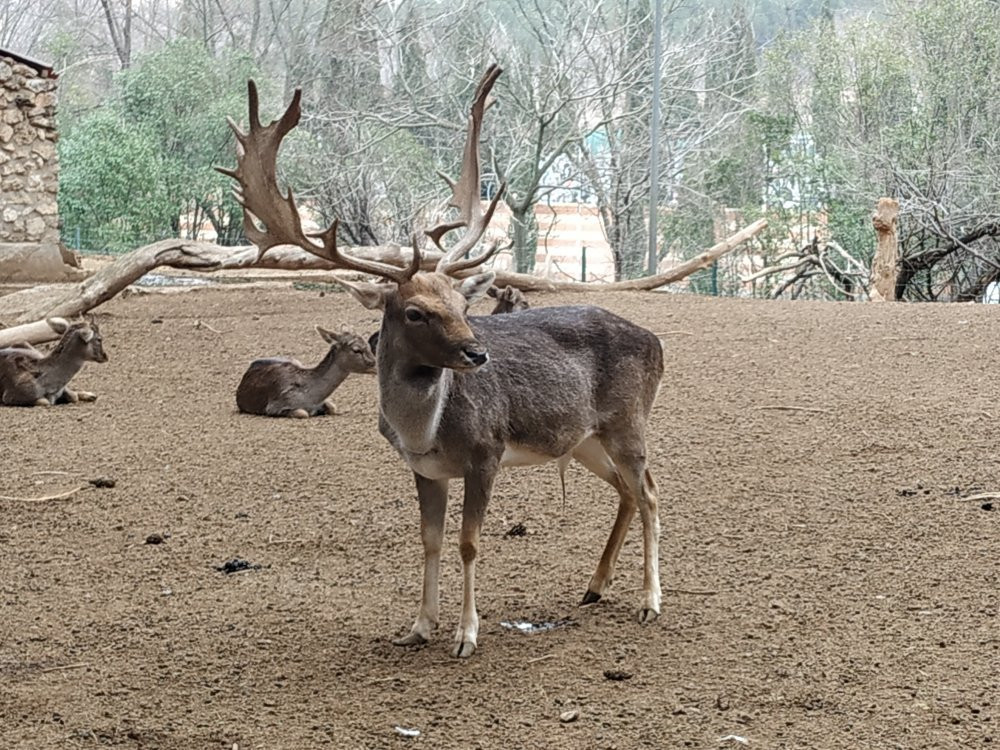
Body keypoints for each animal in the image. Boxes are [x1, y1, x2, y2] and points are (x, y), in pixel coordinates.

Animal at [236, 324, 376, 418]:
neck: (311, 397)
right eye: (357, 350)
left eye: (368, 345)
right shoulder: (274, 406)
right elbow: (302, 413)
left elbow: (332, 407)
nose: (375, 365)